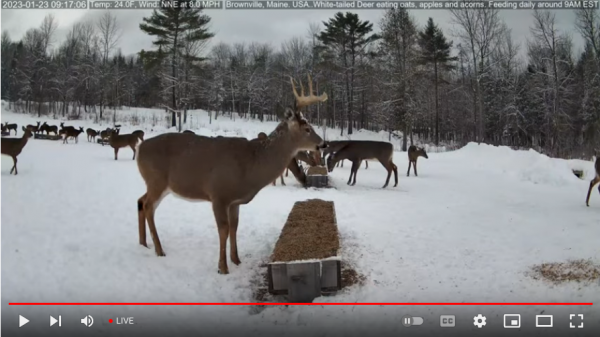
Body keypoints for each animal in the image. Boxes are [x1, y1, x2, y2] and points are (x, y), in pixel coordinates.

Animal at [135, 73, 326, 272]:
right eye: (307, 129)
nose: (323, 144)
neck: (251, 167)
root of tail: (140, 148)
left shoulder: (234, 201)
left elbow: (234, 227)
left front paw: (236, 260)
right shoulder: (218, 194)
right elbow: (224, 230)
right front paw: (222, 268)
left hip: (159, 185)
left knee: (141, 201)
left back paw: (144, 243)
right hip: (156, 180)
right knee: (148, 206)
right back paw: (159, 250)